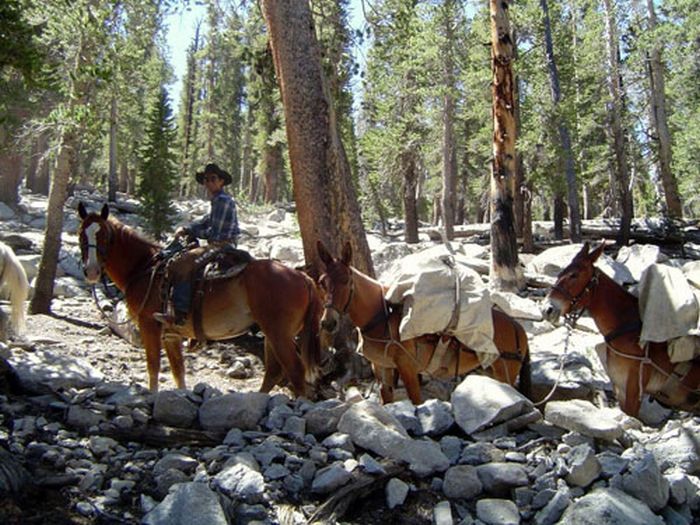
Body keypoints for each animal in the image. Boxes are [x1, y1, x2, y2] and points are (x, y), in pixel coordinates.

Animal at [78, 203, 324, 396]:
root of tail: (304, 278)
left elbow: (153, 366)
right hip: (272, 333)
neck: (144, 268)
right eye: (82, 235)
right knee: (273, 372)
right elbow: (178, 371)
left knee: (294, 370)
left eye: (105, 236)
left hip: (278, 332)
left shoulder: (149, 326)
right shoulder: (171, 335)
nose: (91, 271)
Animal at [314, 239, 528, 404]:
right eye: (322, 282)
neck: (381, 318)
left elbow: (416, 400)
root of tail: (518, 327)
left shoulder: (408, 368)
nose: (328, 323)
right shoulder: (382, 369)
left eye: (346, 281)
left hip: (505, 373)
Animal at [540, 243, 700, 418]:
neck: (627, 328)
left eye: (574, 275)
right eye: (560, 273)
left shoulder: (634, 390)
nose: (547, 309)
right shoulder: (621, 389)